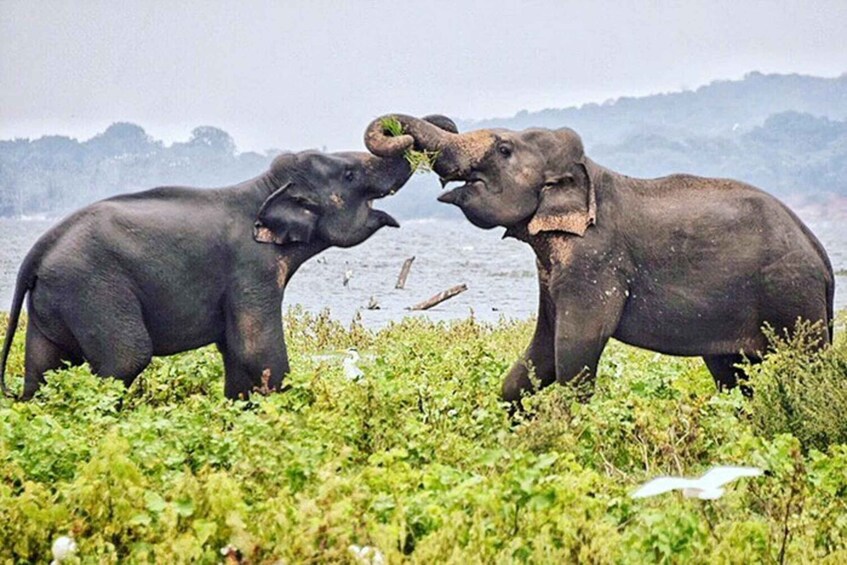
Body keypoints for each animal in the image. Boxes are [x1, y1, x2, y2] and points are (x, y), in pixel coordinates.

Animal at [0, 115, 457, 401]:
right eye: (348, 175)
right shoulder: (250, 268)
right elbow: (257, 350)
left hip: (56, 302)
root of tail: (37, 252)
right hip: (94, 289)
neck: (264, 188)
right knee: (125, 357)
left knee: (44, 368)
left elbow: (237, 355)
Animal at [364, 114, 835, 404]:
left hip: (793, 295)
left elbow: (574, 351)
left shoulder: (595, 261)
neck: (587, 171)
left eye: (503, 150)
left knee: (806, 369)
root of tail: (823, 258)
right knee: (731, 375)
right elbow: (539, 354)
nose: (401, 133)